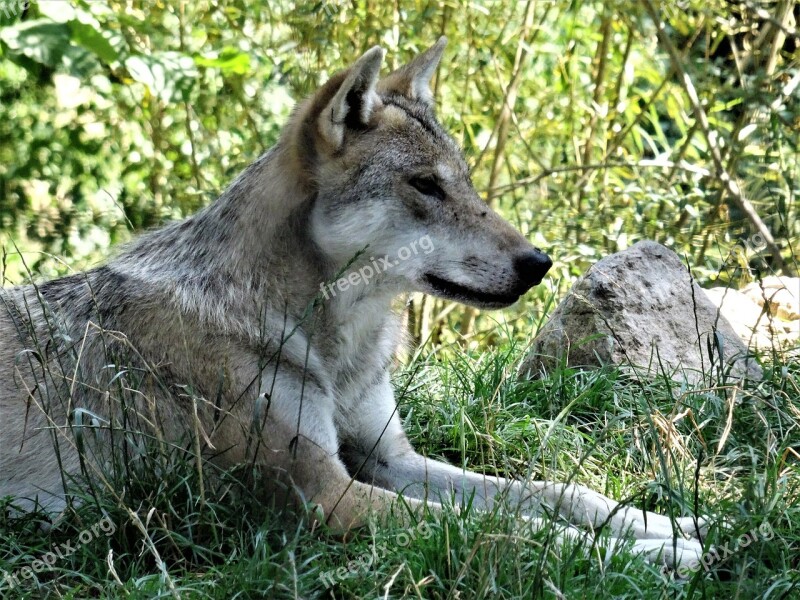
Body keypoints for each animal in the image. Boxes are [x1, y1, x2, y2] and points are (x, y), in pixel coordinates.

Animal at [0, 39, 704, 568]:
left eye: (467, 183)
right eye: (425, 186)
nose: (539, 264)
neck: (335, 346)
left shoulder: (390, 459)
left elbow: (553, 491)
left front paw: (667, 524)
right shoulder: (328, 493)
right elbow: (520, 530)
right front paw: (655, 556)